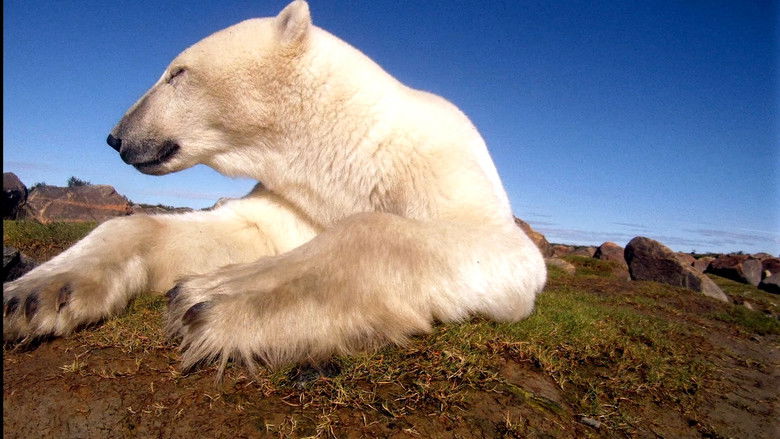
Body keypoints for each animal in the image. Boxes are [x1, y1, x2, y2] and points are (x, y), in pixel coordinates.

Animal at [3, 0, 546, 376]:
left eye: (177, 72)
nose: (116, 136)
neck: (349, 146)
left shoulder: (445, 172)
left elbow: (482, 245)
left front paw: (209, 295)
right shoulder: (297, 196)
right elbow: (240, 228)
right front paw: (30, 297)